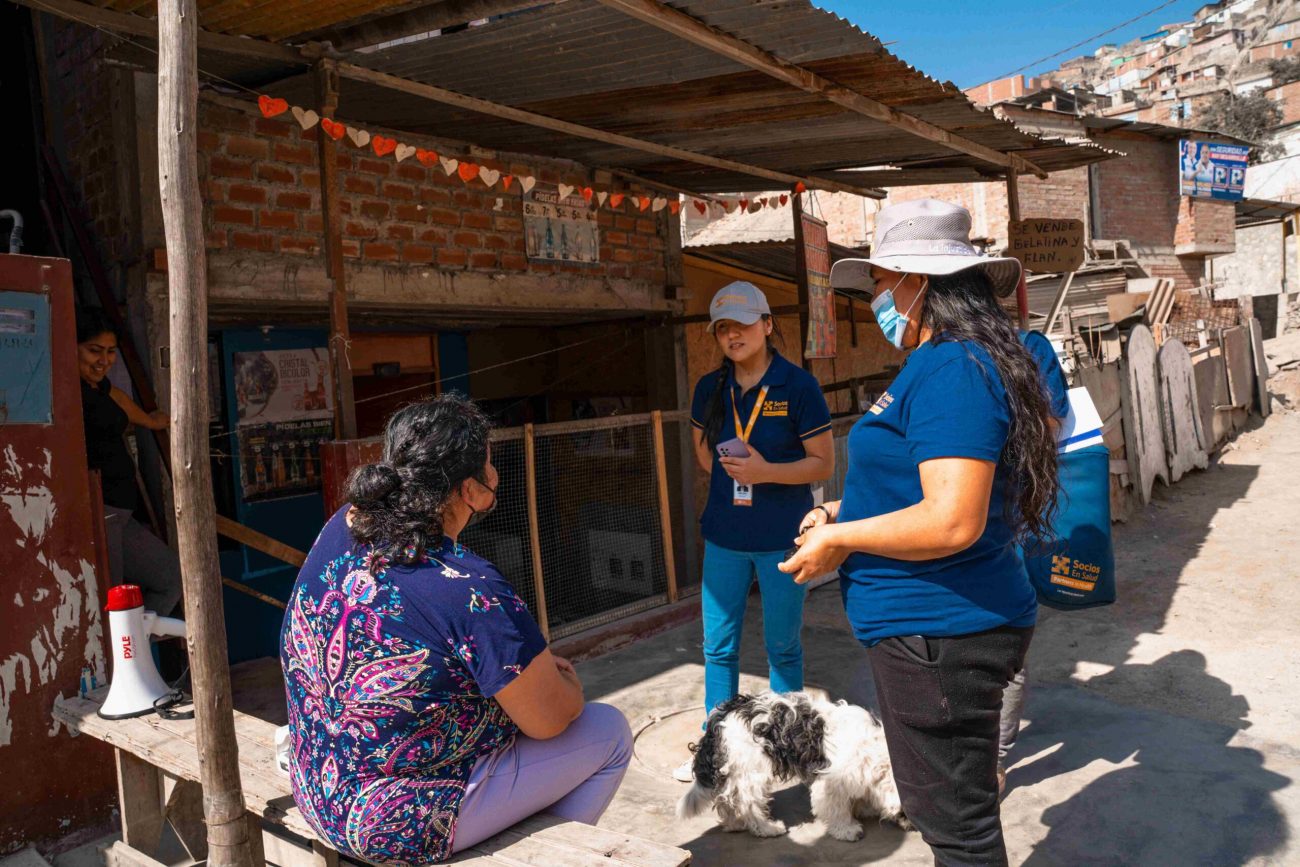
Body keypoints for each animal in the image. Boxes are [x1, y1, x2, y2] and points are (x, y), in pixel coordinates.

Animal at [676, 691, 909, 842]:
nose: (913, 827)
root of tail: (722, 716)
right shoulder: (831, 782)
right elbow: (836, 808)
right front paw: (847, 830)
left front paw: (864, 808)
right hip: (752, 771)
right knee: (748, 803)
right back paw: (767, 828)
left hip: (735, 769)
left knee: (727, 798)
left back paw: (734, 824)